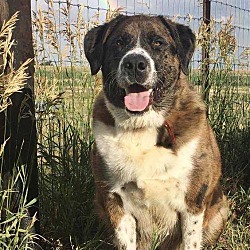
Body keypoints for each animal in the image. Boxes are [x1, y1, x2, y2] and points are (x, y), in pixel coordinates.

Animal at [84, 14, 229, 249]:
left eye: (158, 43)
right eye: (118, 42)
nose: (135, 63)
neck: (141, 126)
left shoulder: (193, 202)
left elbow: (191, 240)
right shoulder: (114, 202)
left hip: (221, 209)